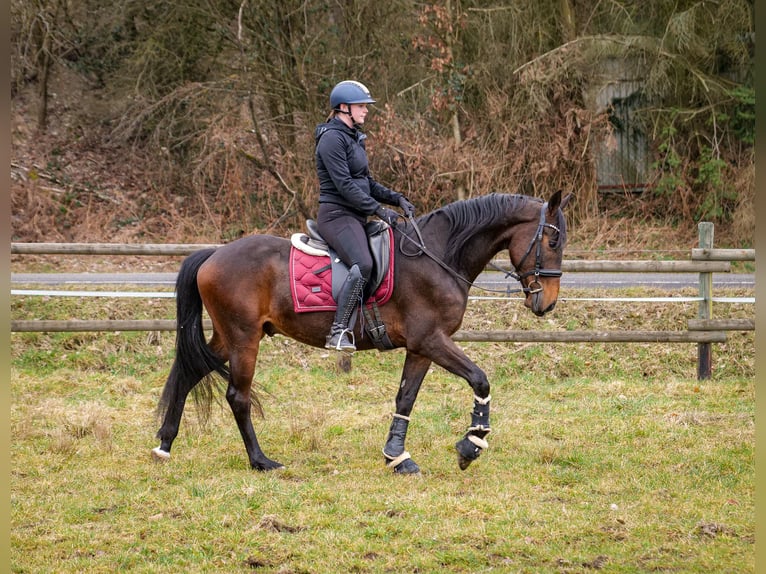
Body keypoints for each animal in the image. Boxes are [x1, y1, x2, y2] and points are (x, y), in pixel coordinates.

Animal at [153, 191, 568, 474]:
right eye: (552, 241)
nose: (546, 303)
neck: (438, 256)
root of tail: (214, 254)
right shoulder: (432, 340)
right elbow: (480, 379)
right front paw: (472, 444)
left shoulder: (421, 348)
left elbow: (405, 399)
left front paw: (397, 457)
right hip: (243, 339)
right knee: (237, 396)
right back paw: (260, 460)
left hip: (230, 338)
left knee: (189, 372)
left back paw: (165, 444)